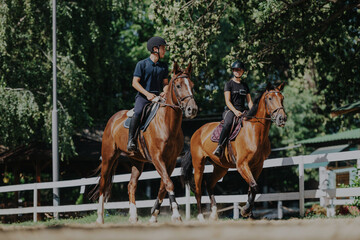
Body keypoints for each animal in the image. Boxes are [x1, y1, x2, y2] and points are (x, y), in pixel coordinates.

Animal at [95, 61, 197, 223]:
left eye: (192, 85)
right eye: (178, 85)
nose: (192, 109)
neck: (167, 124)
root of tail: (113, 119)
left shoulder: (171, 160)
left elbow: (163, 186)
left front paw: (154, 215)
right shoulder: (157, 158)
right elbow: (168, 183)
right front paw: (176, 214)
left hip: (137, 162)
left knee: (131, 185)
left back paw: (133, 216)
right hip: (108, 157)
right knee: (103, 184)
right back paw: (100, 218)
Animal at [183, 82, 286, 221]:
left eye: (282, 98)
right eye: (270, 98)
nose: (282, 118)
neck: (254, 132)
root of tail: (197, 132)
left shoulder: (258, 166)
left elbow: (251, 189)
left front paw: (250, 214)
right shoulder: (242, 165)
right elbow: (254, 186)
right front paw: (245, 210)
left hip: (221, 167)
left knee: (209, 184)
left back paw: (214, 214)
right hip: (199, 164)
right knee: (198, 189)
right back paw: (200, 216)